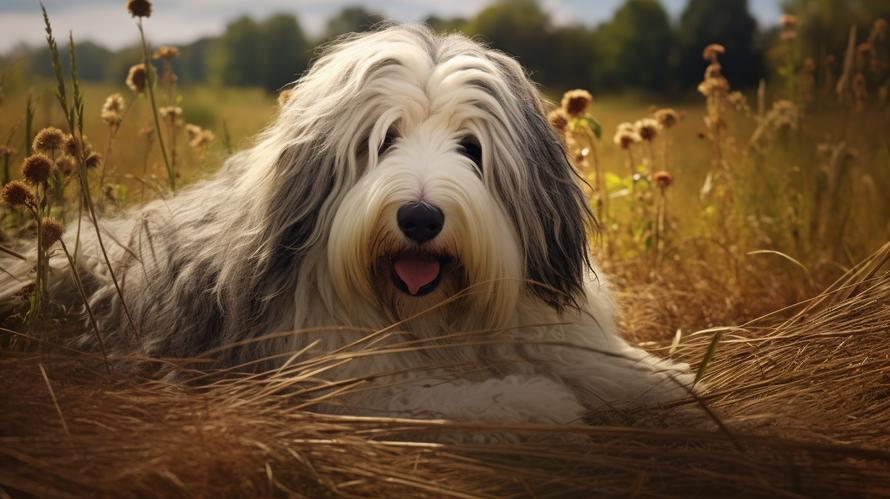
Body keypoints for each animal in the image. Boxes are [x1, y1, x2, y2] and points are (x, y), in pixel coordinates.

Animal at [0, 25, 692, 426]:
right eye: (382, 140)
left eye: (472, 149)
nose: (420, 217)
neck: (429, 316)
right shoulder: (328, 373)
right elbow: (433, 395)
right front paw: (530, 400)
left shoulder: (535, 320)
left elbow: (586, 357)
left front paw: (663, 379)